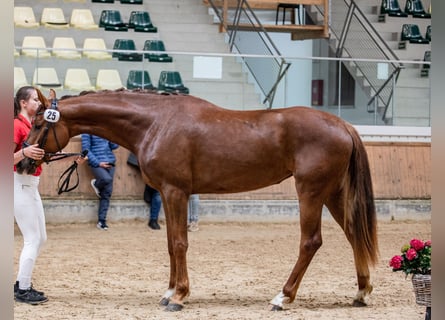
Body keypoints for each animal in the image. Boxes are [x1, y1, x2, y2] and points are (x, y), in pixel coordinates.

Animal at [17, 89, 378, 312]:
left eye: (40, 123)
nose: (23, 161)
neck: (155, 122)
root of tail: (342, 124)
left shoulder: (176, 191)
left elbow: (179, 243)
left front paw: (179, 295)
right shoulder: (167, 194)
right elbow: (170, 243)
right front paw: (168, 291)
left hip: (311, 192)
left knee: (310, 242)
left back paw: (282, 297)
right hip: (333, 193)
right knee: (352, 234)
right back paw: (360, 292)